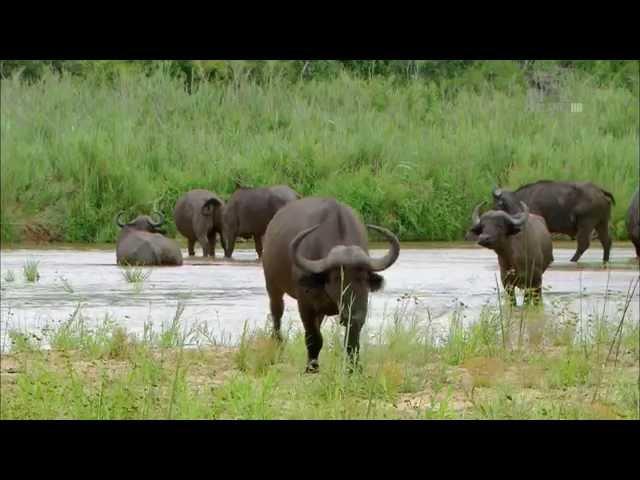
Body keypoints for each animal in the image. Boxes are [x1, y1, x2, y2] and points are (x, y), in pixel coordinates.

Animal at [262, 197, 398, 374]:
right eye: (336, 277)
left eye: (363, 277)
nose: (351, 313)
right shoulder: (305, 305)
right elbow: (313, 337)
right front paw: (312, 367)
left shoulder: (359, 307)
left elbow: (352, 339)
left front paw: (354, 367)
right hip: (273, 286)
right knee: (277, 314)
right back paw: (278, 344)